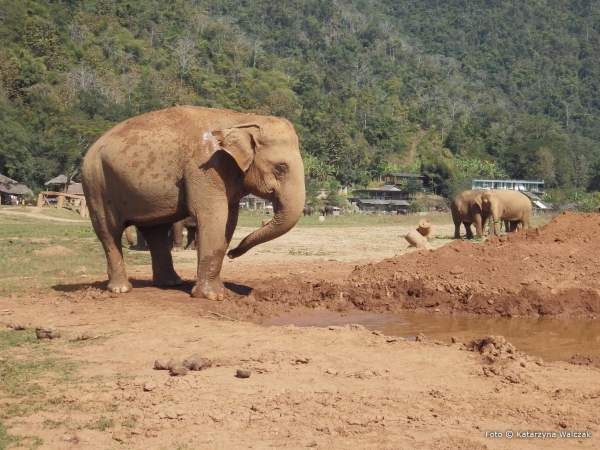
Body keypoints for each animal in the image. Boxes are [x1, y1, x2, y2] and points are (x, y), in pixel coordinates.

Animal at [82, 106, 304, 298]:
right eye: (281, 168)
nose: (233, 254)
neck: (241, 119)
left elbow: (229, 222)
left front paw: (220, 290)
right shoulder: (203, 168)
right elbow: (213, 217)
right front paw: (212, 296)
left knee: (155, 231)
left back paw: (170, 283)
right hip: (96, 183)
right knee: (109, 230)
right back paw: (121, 289)